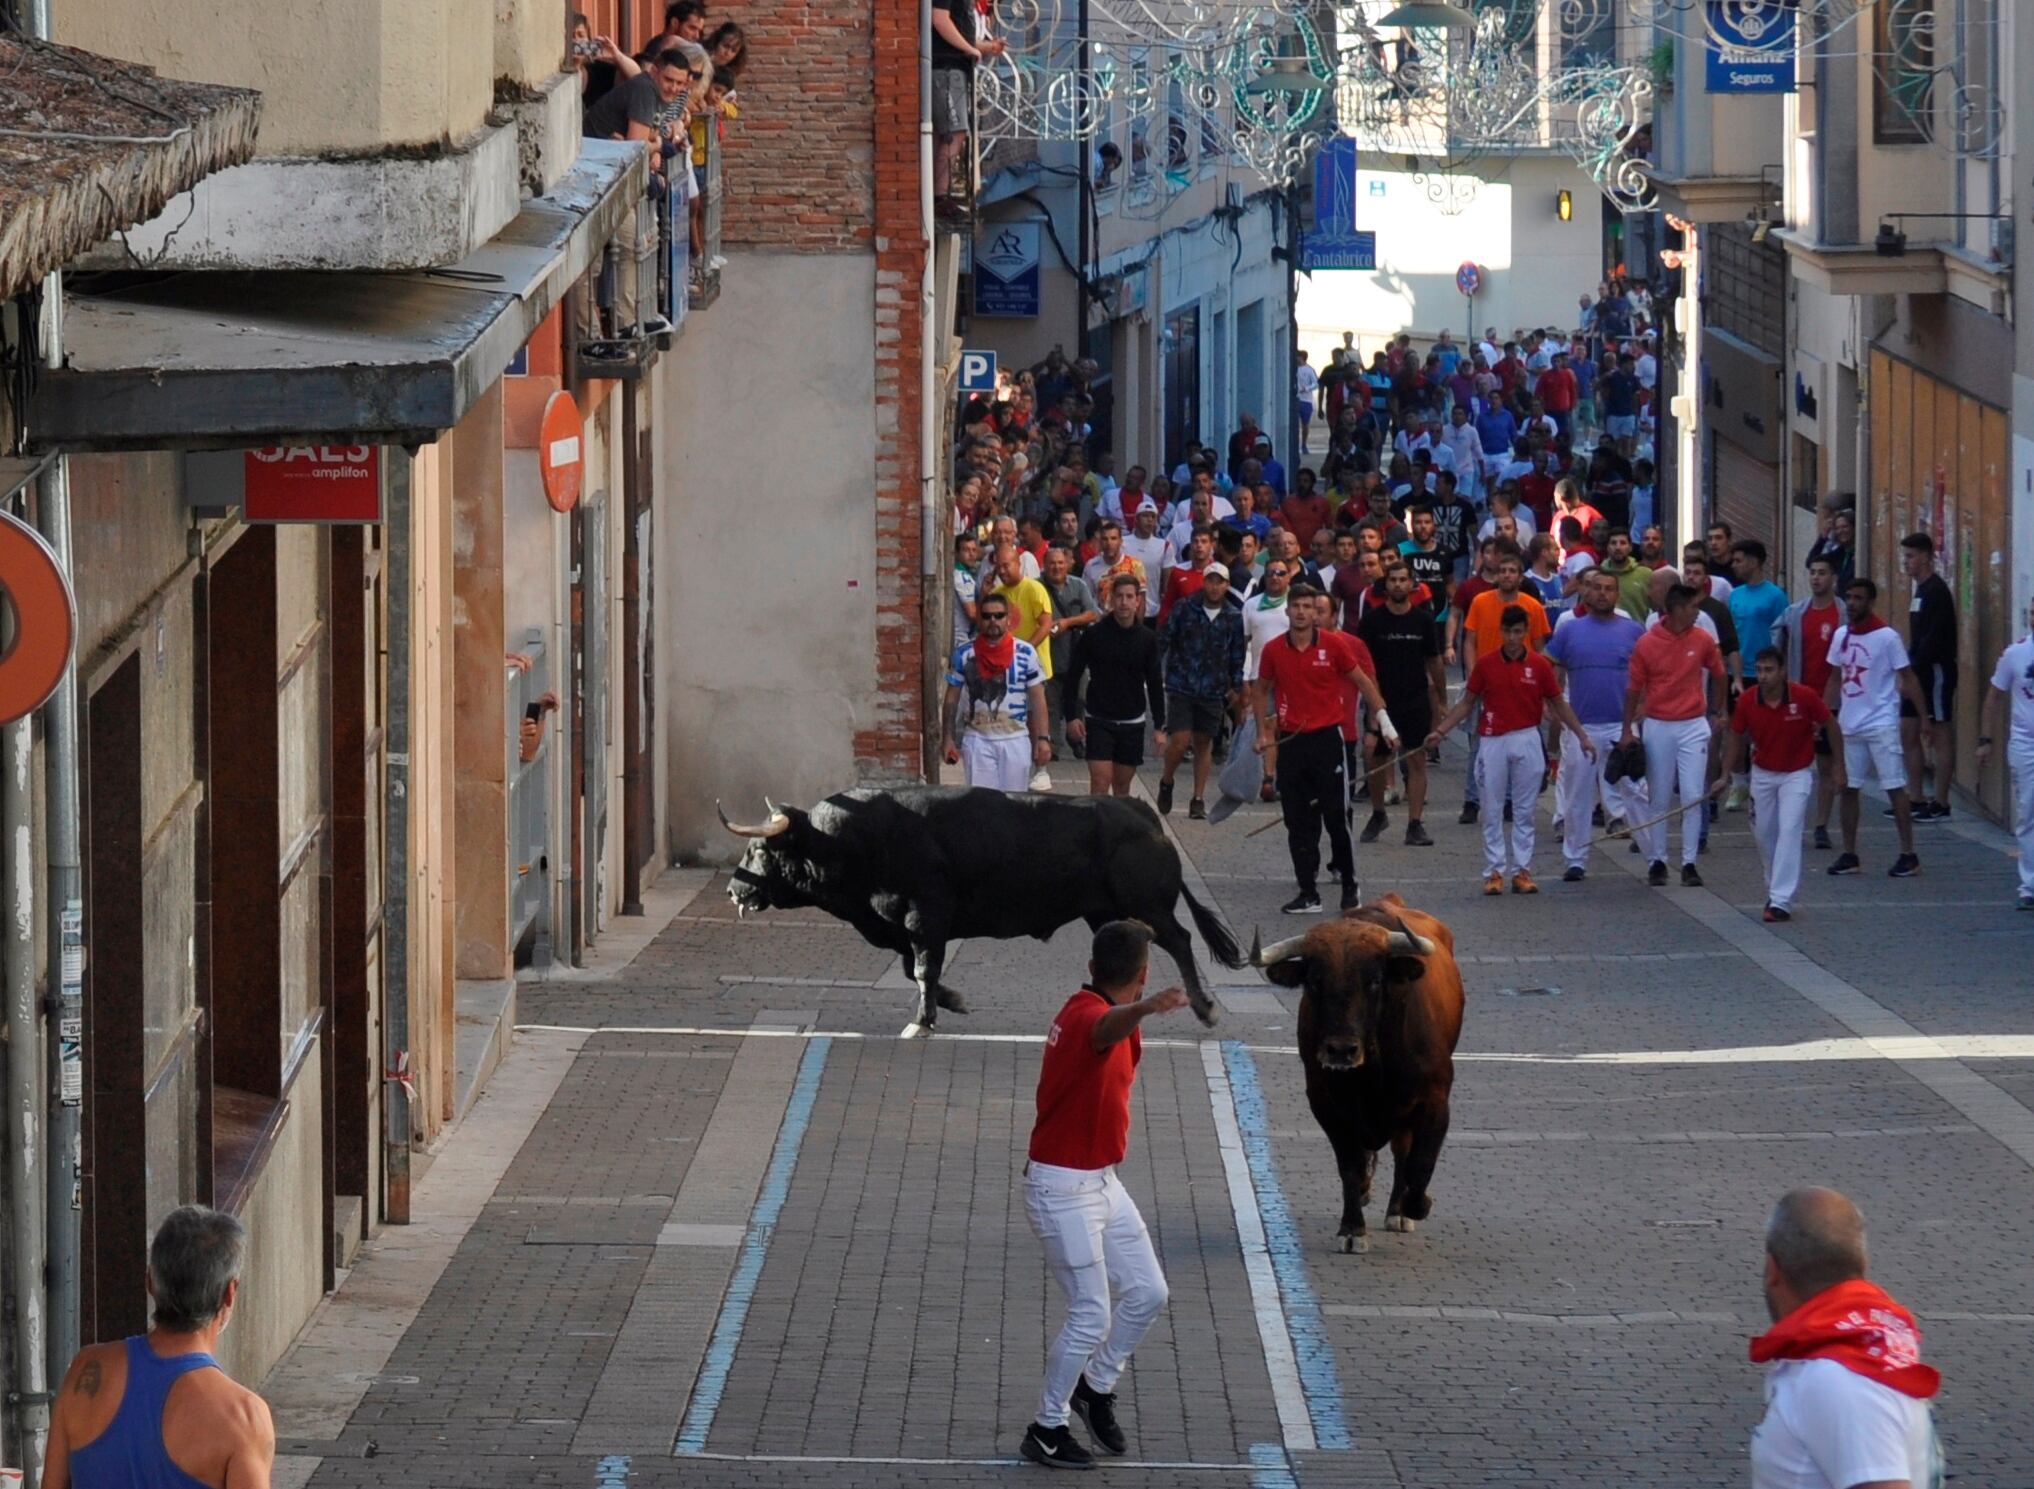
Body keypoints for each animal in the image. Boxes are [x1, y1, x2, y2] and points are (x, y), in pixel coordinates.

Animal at [724, 789, 1244, 1025]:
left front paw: (924, 1019)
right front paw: (950, 1001)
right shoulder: (908, 928)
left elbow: (922, 968)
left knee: (1180, 940)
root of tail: (1142, 812)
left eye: (760, 850)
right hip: (1109, 911)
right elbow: (914, 967)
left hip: (1147, 904)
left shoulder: (924, 916)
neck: (850, 839)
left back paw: (1205, 1008)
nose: (733, 890)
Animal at [1252, 895, 1464, 1253]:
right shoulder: (1326, 1105)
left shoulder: (1435, 1101)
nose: (1340, 1050)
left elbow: (1420, 1162)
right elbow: (1349, 1166)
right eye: (1314, 982)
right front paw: (1352, 1229)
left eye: (1375, 980)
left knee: (1403, 1153)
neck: (1374, 1071)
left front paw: (1416, 1205)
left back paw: (1398, 1211)